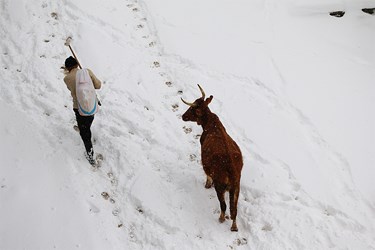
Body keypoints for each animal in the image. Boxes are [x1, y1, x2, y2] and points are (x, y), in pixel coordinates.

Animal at [181, 84, 244, 232]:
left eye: (192, 109)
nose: (183, 116)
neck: (210, 124)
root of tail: (231, 171)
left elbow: (207, 174)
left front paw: (206, 184)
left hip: (220, 185)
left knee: (224, 206)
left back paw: (221, 218)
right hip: (236, 187)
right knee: (234, 209)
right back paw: (234, 226)